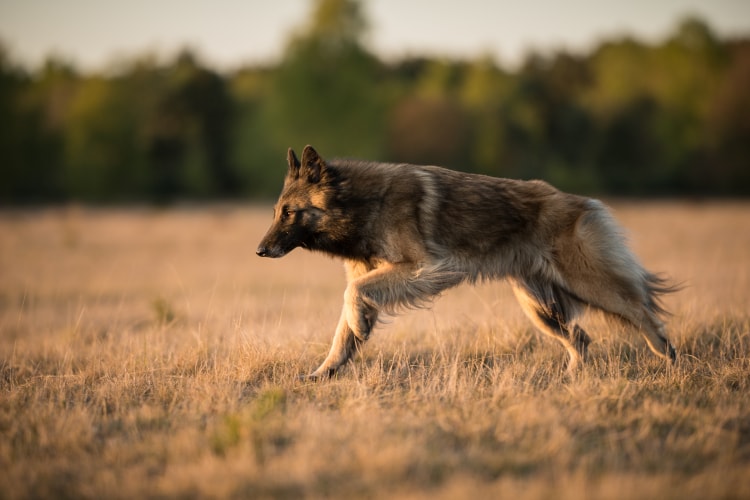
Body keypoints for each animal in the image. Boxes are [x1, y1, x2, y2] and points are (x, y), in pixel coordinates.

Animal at [256, 146, 680, 378]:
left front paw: (353, 334)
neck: (361, 203)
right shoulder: (382, 276)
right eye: (277, 212)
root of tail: (580, 200)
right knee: (580, 338)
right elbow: (344, 327)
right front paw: (324, 372)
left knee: (641, 311)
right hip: (538, 306)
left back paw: (668, 355)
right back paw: (574, 376)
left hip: (587, 282)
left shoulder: (425, 269)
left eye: (290, 213)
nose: (259, 251)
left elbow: (353, 295)